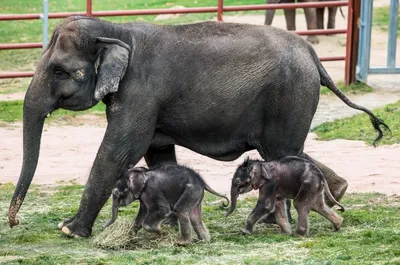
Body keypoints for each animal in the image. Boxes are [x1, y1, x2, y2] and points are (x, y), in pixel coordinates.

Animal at [7, 15, 390, 236]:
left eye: (59, 71)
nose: (12, 222)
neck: (117, 31)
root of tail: (314, 56)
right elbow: (157, 152)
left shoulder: (142, 91)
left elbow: (120, 149)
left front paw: (69, 231)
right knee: (287, 151)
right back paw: (337, 192)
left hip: (289, 95)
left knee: (282, 151)